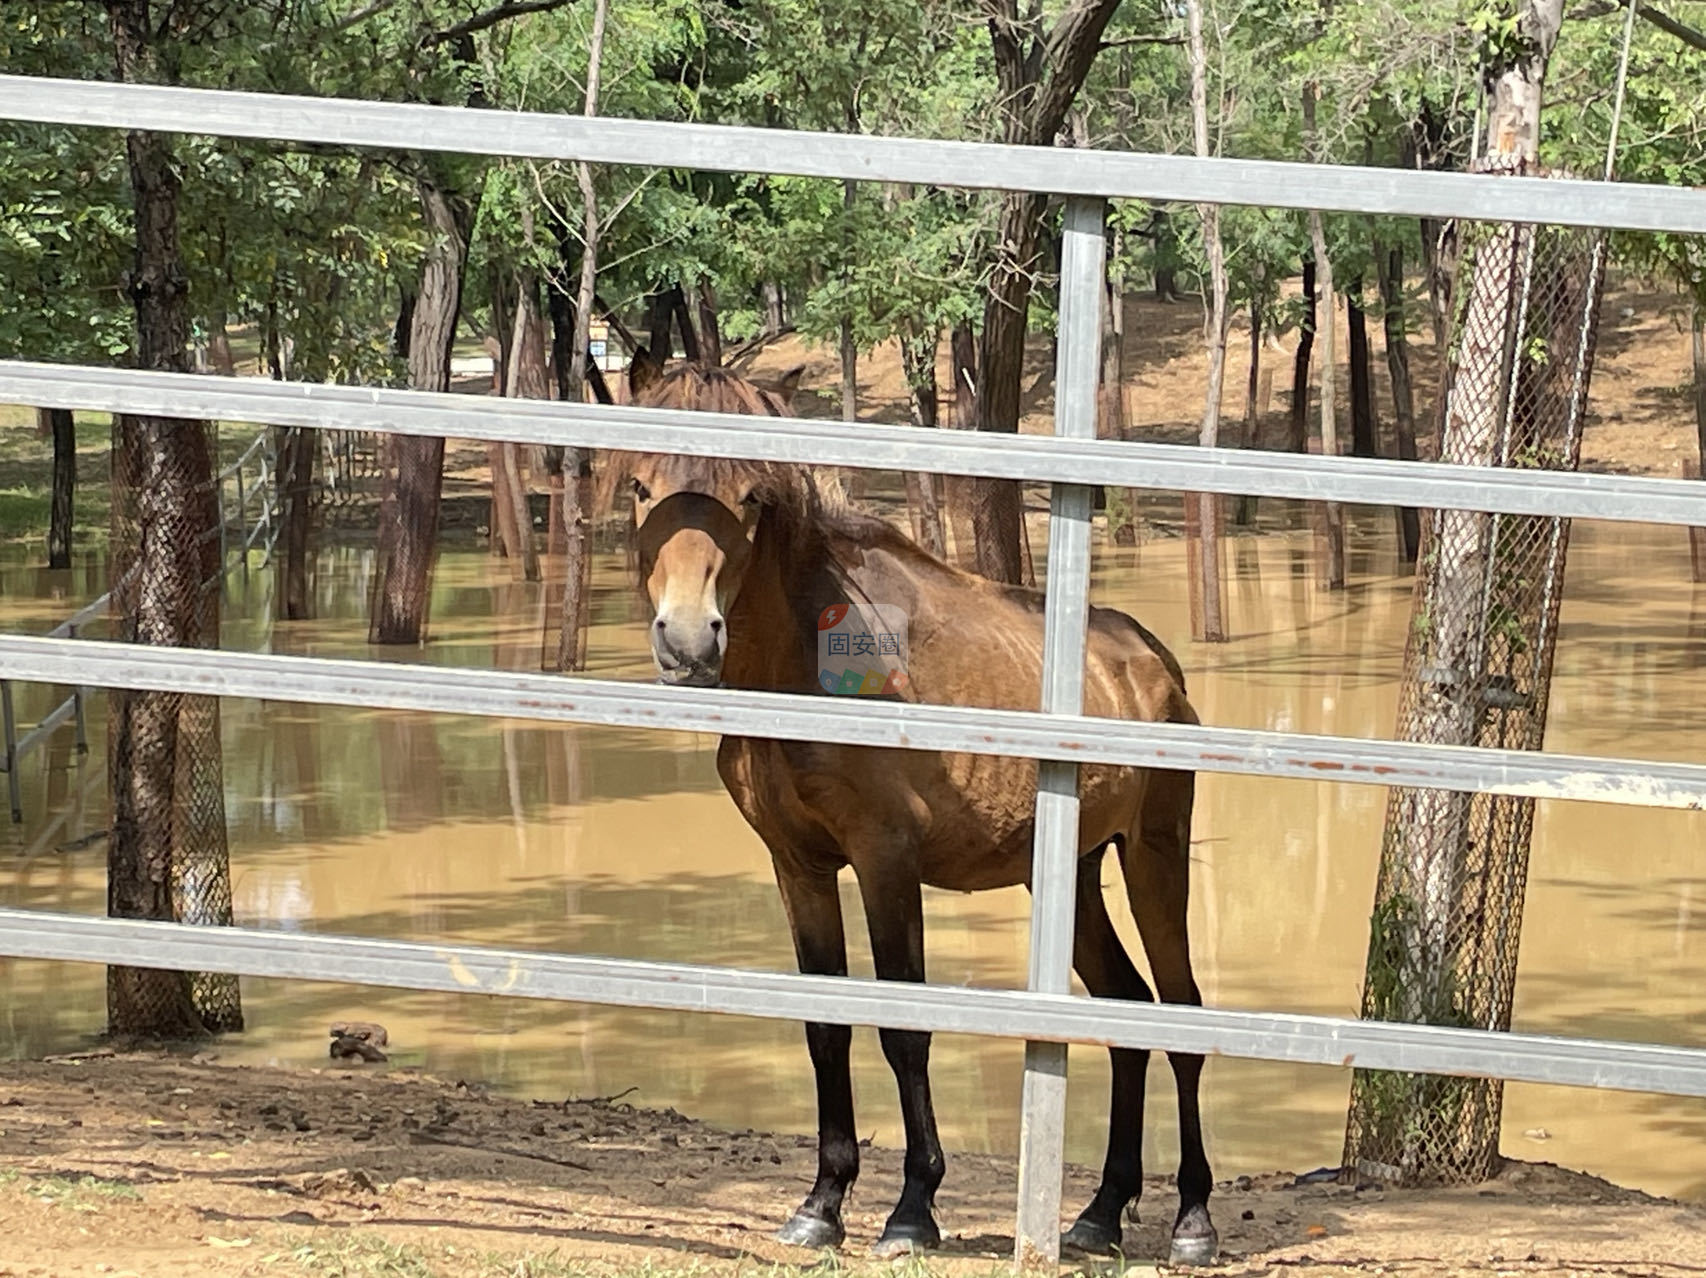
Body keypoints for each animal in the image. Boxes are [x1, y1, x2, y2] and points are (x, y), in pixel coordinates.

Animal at [610, 353, 1214, 1262]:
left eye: (749, 496)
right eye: (641, 487)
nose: (688, 640)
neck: (810, 665)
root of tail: (1151, 660)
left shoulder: (885, 861)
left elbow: (904, 1028)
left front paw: (911, 1210)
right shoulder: (800, 867)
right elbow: (827, 1028)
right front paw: (820, 1205)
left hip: (1154, 856)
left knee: (1180, 1016)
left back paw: (1193, 1221)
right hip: (1070, 876)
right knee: (1128, 1011)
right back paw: (1100, 1214)